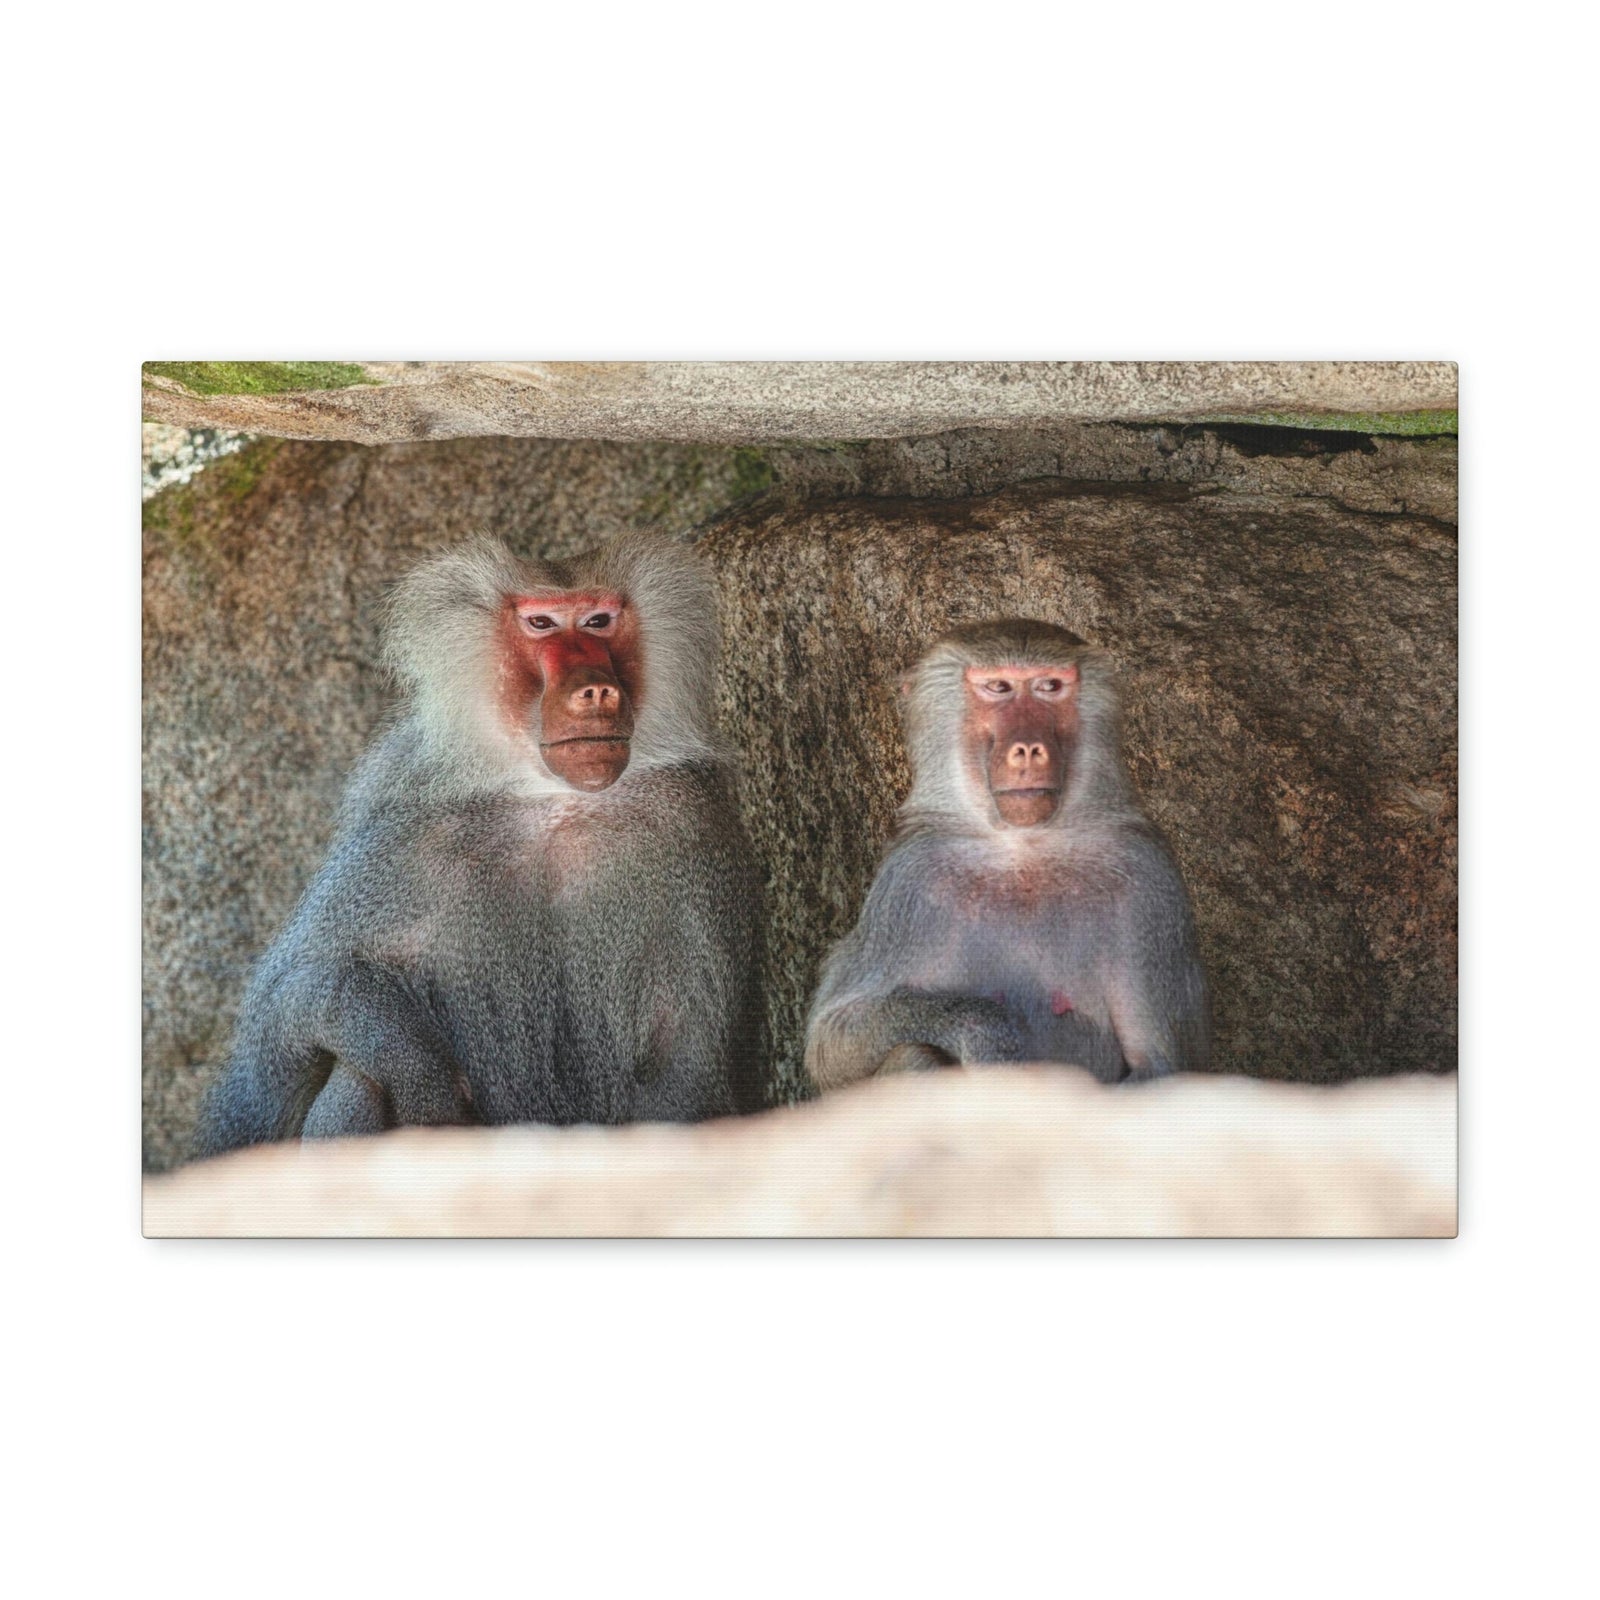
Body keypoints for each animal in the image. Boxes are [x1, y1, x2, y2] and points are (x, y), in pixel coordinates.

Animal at [192, 531, 766, 1159]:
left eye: (598, 620)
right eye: (541, 623)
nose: (596, 690)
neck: (552, 799)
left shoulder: (691, 824)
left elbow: (687, 1063)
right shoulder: (403, 827)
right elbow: (285, 1009)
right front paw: (422, 1077)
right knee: (356, 1073)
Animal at [804, 620, 1208, 1091]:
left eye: (1050, 686)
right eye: (998, 687)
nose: (1030, 748)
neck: (1024, 850)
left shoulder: (1149, 883)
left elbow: (1159, 1065)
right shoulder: (909, 882)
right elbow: (832, 1040)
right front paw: (987, 1034)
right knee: (913, 1054)